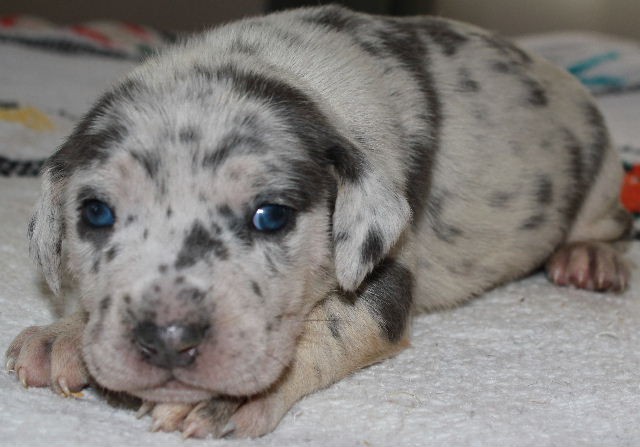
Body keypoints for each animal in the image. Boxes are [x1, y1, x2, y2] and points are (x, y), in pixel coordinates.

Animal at [6, 5, 636, 440]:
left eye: (271, 216)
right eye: (96, 213)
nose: (168, 339)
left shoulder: (384, 272)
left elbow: (334, 324)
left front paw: (218, 400)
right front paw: (63, 335)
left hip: (599, 169)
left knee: (609, 219)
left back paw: (588, 257)